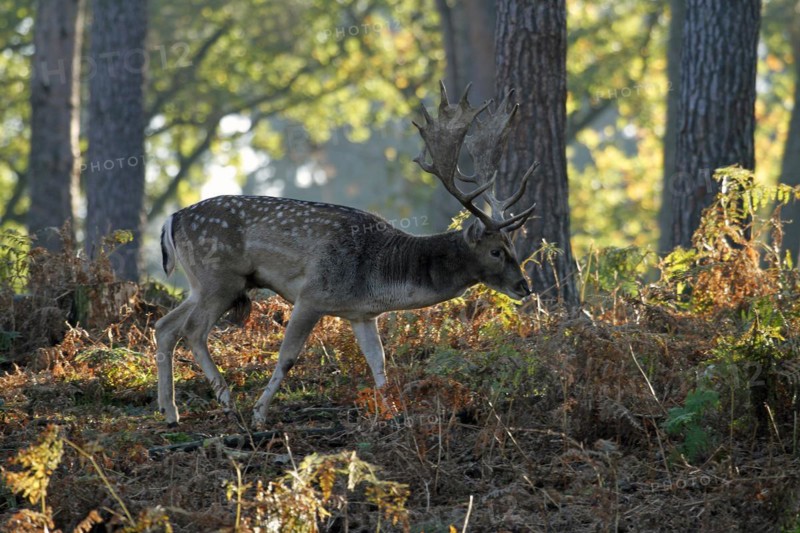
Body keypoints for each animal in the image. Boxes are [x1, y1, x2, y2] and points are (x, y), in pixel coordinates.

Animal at [155, 82, 539, 427]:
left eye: (513, 246)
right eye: (495, 251)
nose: (525, 286)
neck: (380, 276)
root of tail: (172, 218)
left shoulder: (362, 314)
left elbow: (378, 362)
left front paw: (392, 415)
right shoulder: (312, 295)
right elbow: (287, 357)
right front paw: (260, 413)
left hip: (202, 283)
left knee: (165, 326)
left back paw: (171, 413)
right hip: (220, 277)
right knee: (193, 330)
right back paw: (227, 403)